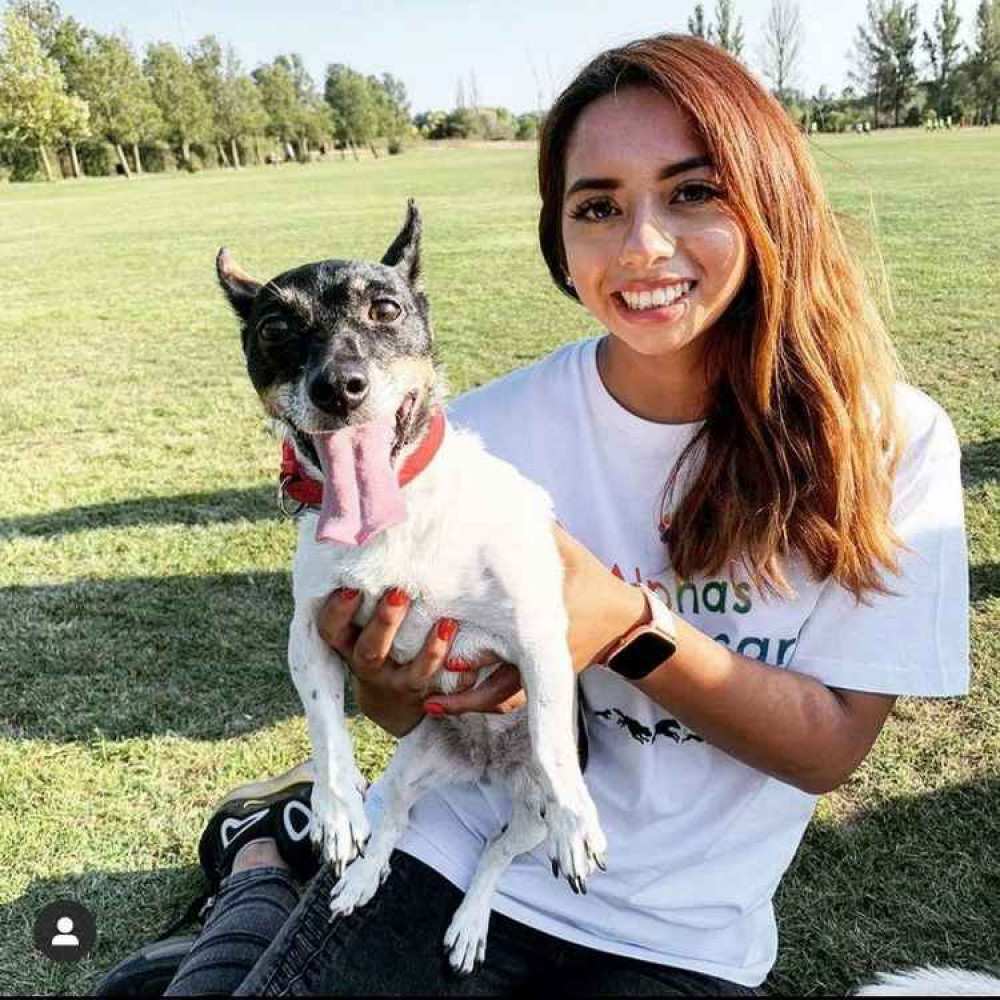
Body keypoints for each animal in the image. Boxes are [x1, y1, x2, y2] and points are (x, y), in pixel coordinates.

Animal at [219, 199, 604, 972]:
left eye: (386, 308)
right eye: (275, 328)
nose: (338, 387)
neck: (393, 518)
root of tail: (482, 767)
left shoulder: (539, 635)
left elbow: (552, 742)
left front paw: (579, 824)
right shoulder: (310, 634)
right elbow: (326, 728)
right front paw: (335, 814)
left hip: (525, 813)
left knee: (495, 852)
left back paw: (473, 920)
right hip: (410, 764)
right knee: (394, 820)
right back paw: (362, 876)